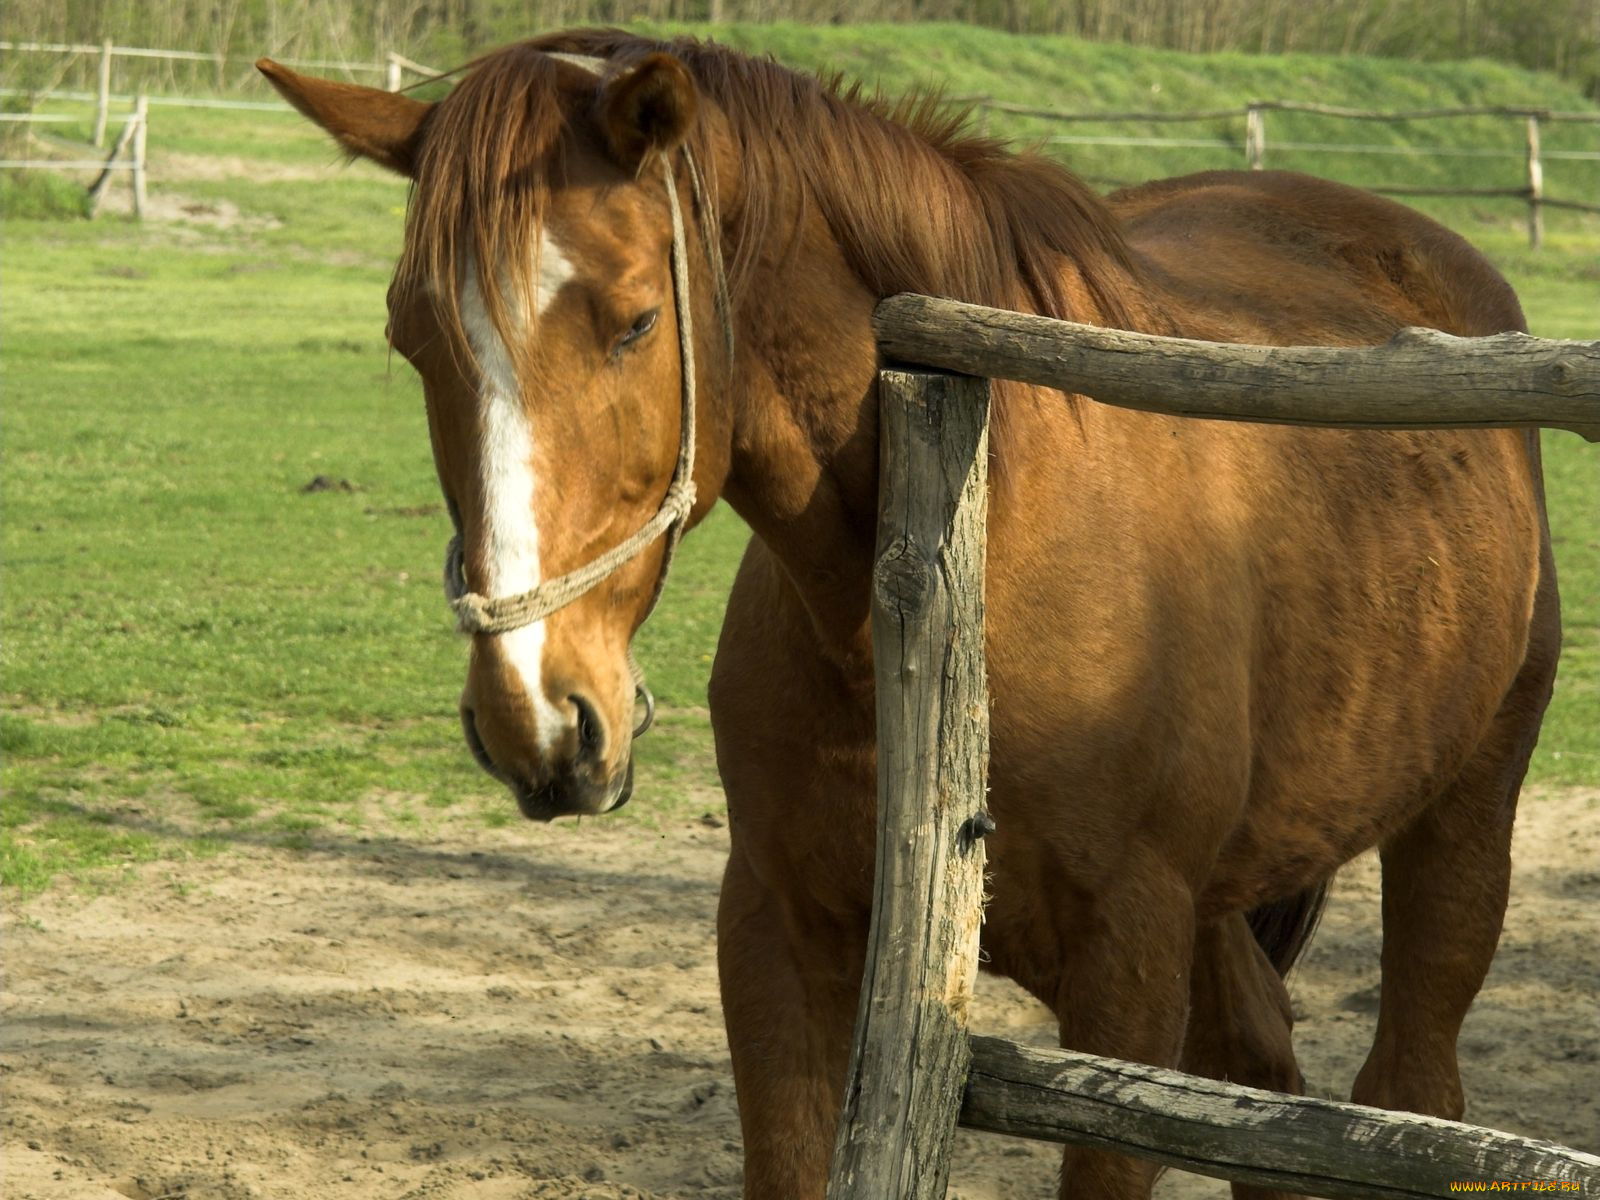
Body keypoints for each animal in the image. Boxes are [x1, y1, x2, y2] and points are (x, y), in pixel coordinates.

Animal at [265, 32, 1561, 1196]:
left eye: (632, 322)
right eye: (411, 337)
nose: (535, 715)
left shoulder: (1126, 970)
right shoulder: (778, 932)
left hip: (1459, 822)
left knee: (1406, 1090)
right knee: (1262, 1083)